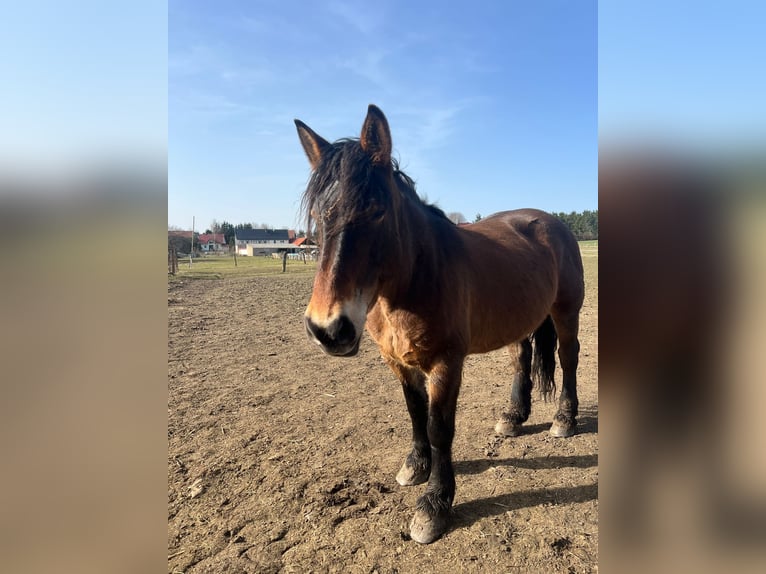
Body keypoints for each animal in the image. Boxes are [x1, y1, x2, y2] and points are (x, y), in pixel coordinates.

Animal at [294, 105, 584, 544]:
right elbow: (415, 413)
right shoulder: (398, 361)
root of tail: (552, 223)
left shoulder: (446, 364)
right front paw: (416, 465)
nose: (328, 329)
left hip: (565, 313)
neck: (416, 277)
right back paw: (513, 417)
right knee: (521, 360)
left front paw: (435, 504)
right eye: (315, 216)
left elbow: (439, 428)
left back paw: (565, 419)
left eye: (376, 211)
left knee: (568, 359)